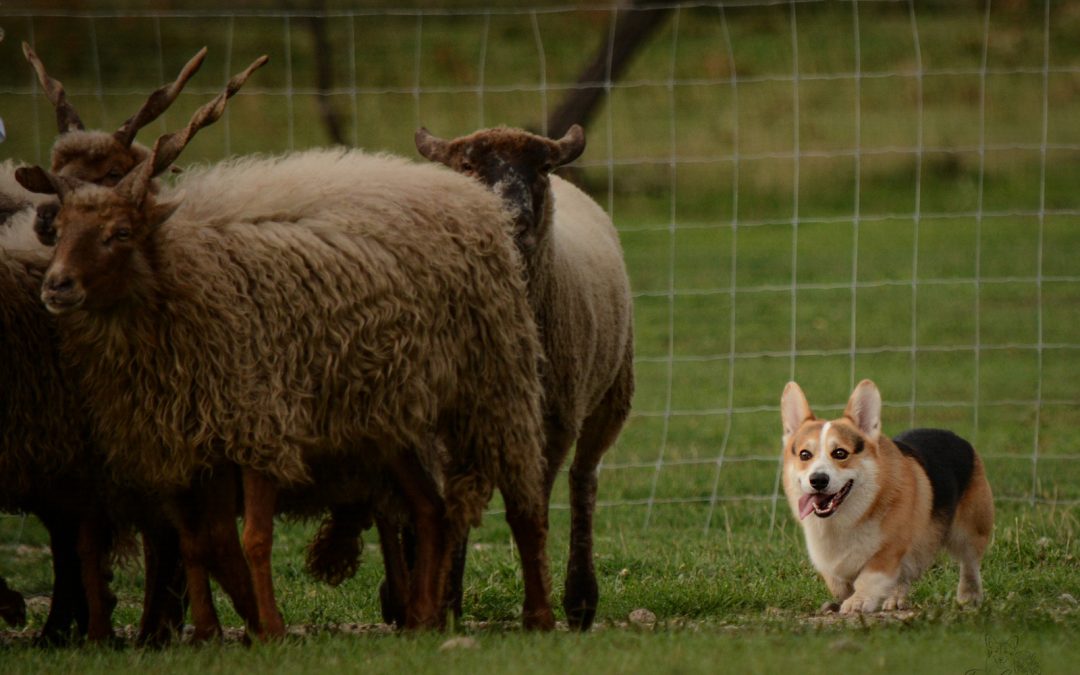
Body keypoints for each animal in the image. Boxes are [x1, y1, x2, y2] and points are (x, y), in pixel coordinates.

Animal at [410, 123, 630, 630]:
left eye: (541, 167)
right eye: (466, 165)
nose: (512, 219)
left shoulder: (550, 422)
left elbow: (530, 512)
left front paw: (537, 614)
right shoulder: (445, 426)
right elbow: (454, 510)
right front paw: (445, 608)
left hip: (609, 396)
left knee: (584, 481)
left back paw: (580, 600)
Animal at [777, 380, 993, 609]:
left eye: (840, 453)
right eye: (804, 455)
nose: (818, 480)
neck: (851, 516)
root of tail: (957, 437)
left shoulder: (890, 550)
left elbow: (870, 576)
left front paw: (858, 602)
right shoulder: (829, 561)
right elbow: (838, 582)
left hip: (970, 530)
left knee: (969, 564)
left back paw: (969, 597)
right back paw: (895, 599)